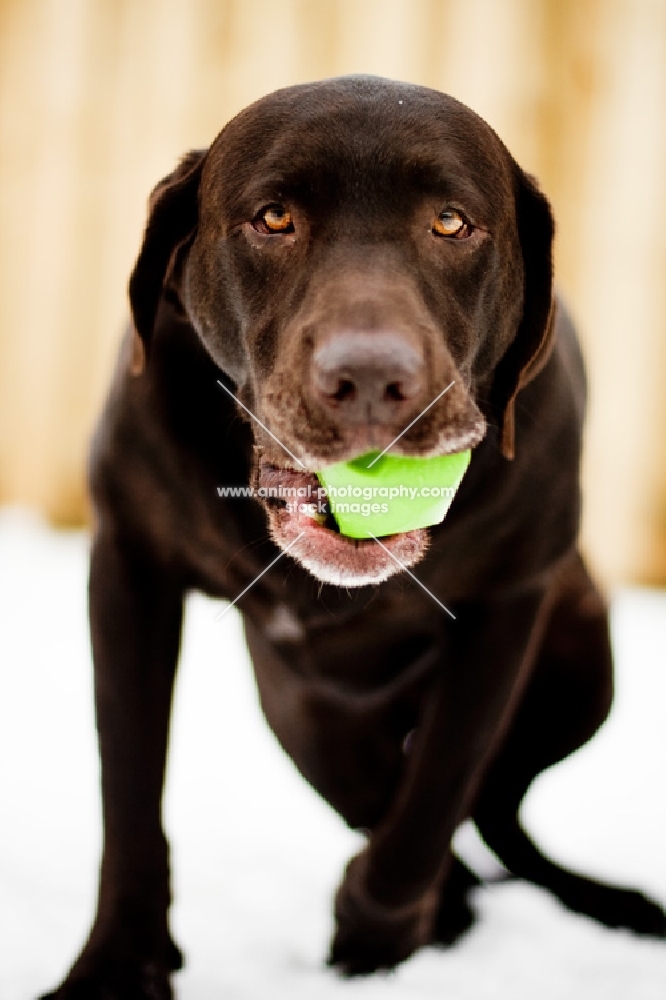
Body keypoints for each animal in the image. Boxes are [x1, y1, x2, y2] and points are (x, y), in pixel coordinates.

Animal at [42, 80, 664, 1000]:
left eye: (451, 222)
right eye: (273, 218)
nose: (370, 378)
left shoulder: (508, 603)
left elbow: (435, 794)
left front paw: (374, 943)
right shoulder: (129, 567)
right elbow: (128, 789)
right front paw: (117, 966)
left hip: (584, 667)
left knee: (493, 808)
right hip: (302, 715)